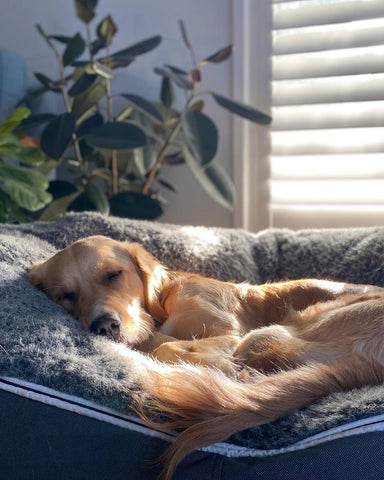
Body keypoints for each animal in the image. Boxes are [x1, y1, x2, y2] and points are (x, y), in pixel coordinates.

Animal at [27, 236, 384, 480]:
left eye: (113, 275)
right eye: (65, 295)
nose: (104, 326)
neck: (164, 303)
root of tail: (361, 367)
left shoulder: (232, 335)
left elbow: (168, 347)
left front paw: (213, 363)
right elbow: (160, 343)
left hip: (267, 333)